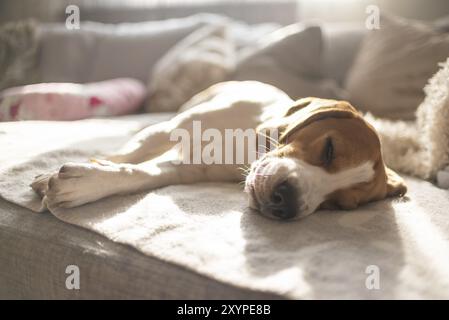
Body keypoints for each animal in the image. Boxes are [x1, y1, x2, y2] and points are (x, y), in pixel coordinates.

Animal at [31, 81, 406, 219]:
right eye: (329, 149)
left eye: (338, 205)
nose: (286, 203)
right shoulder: (171, 129)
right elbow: (127, 156)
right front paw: (80, 168)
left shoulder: (185, 168)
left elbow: (139, 172)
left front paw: (86, 182)